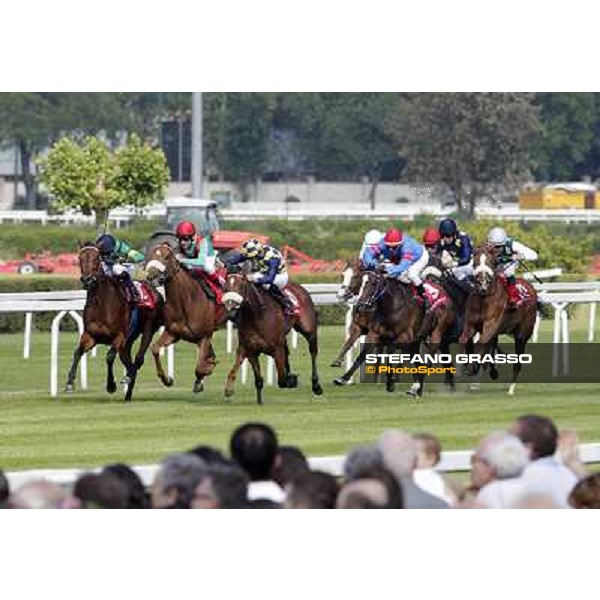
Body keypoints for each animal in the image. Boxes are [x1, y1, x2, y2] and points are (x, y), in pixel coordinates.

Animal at [64, 244, 163, 404]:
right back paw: (128, 394)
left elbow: (109, 357)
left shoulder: (119, 336)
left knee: (138, 360)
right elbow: (77, 352)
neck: (101, 303)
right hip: (127, 343)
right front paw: (69, 382)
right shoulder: (90, 336)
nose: (87, 280)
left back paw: (127, 378)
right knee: (129, 363)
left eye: (96, 258)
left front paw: (111, 385)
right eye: (80, 258)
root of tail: (155, 291)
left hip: (148, 329)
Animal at [146, 241, 230, 396]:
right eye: (152, 255)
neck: (186, 300)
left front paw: (206, 371)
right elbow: (154, 348)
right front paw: (167, 379)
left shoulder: (204, 336)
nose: (152, 277)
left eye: (167, 257)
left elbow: (200, 366)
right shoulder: (173, 333)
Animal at [221, 270, 324, 406]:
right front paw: (229, 390)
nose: (231, 312)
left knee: (313, 352)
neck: (257, 315)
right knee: (287, 352)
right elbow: (251, 376)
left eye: (240, 287)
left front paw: (291, 380)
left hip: (309, 331)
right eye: (225, 288)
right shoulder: (249, 349)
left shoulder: (276, 348)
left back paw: (316, 385)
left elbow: (282, 380)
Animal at [460, 241, 540, 396]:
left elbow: (480, 344)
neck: (484, 297)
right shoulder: (471, 325)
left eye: (491, 262)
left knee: (517, 363)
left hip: (522, 335)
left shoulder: (490, 325)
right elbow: (464, 341)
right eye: (475, 262)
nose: (482, 283)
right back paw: (491, 372)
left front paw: (472, 368)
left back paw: (510, 389)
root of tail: (530, 287)